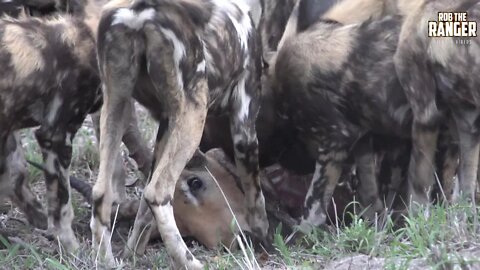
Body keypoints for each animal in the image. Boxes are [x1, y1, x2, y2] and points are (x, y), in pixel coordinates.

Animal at [94, 0, 266, 266]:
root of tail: (138, 12)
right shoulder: (244, 124)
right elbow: (256, 199)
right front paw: (262, 240)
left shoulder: (165, 122)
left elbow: (143, 213)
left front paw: (133, 253)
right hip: (193, 115)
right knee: (157, 193)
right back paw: (190, 261)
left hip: (116, 104)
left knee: (103, 192)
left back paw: (105, 261)